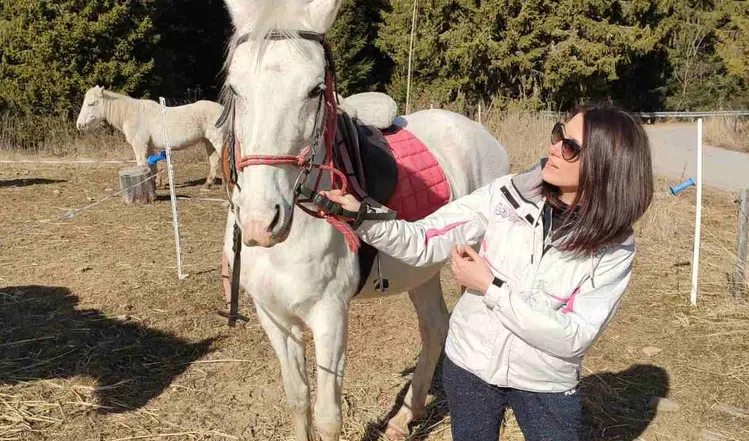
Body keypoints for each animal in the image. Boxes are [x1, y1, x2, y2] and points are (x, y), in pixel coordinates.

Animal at [76, 86, 226, 188]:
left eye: (91, 103)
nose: (79, 125)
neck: (131, 114)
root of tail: (223, 109)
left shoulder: (139, 145)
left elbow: (141, 164)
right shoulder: (149, 146)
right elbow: (152, 166)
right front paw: (156, 183)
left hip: (217, 141)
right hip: (207, 141)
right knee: (214, 160)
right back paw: (208, 184)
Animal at [218, 1, 511, 440]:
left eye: (315, 91)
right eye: (236, 89)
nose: (260, 221)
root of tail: (482, 135)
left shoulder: (330, 316)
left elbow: (327, 415)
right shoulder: (273, 316)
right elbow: (296, 397)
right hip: (422, 272)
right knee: (435, 327)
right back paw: (405, 417)